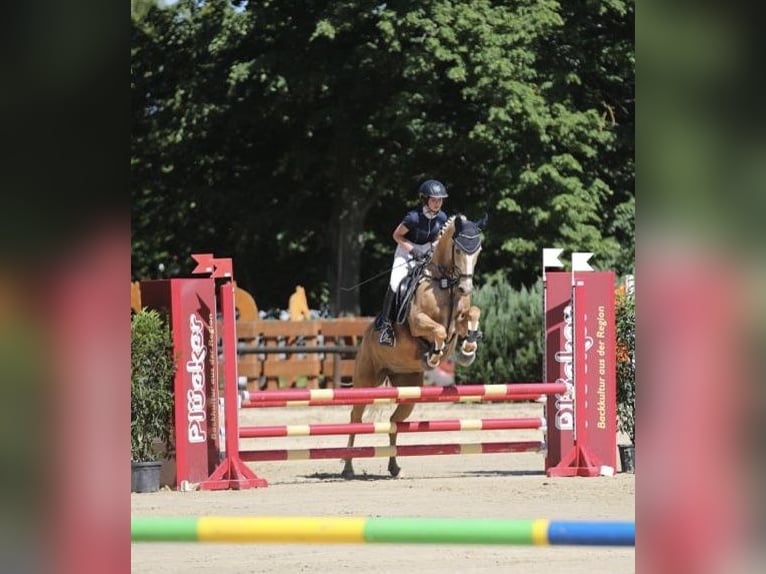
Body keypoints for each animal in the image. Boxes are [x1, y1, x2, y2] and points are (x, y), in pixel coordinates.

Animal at [342, 214, 486, 480]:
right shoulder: (418, 322)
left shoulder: (460, 320)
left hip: (409, 391)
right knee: (355, 418)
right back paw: (347, 467)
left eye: (478, 250)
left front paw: (468, 349)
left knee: (394, 421)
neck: (445, 283)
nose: (466, 288)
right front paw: (434, 355)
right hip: (366, 383)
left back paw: (393, 466)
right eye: (458, 249)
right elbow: (439, 331)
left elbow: (472, 313)